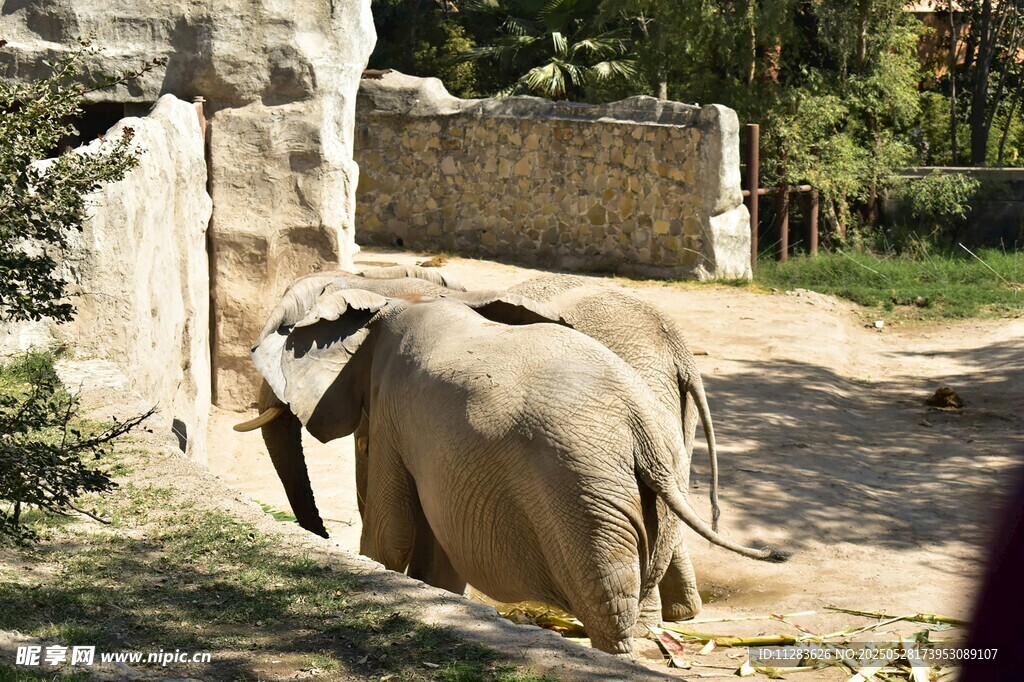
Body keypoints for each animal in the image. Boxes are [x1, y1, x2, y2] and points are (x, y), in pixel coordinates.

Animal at [246, 282, 785, 654]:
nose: (319, 535)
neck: (389, 297)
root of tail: (642, 430)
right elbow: (435, 544)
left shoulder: (392, 409)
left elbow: (390, 532)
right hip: (654, 479)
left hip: (581, 501)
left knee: (607, 599)